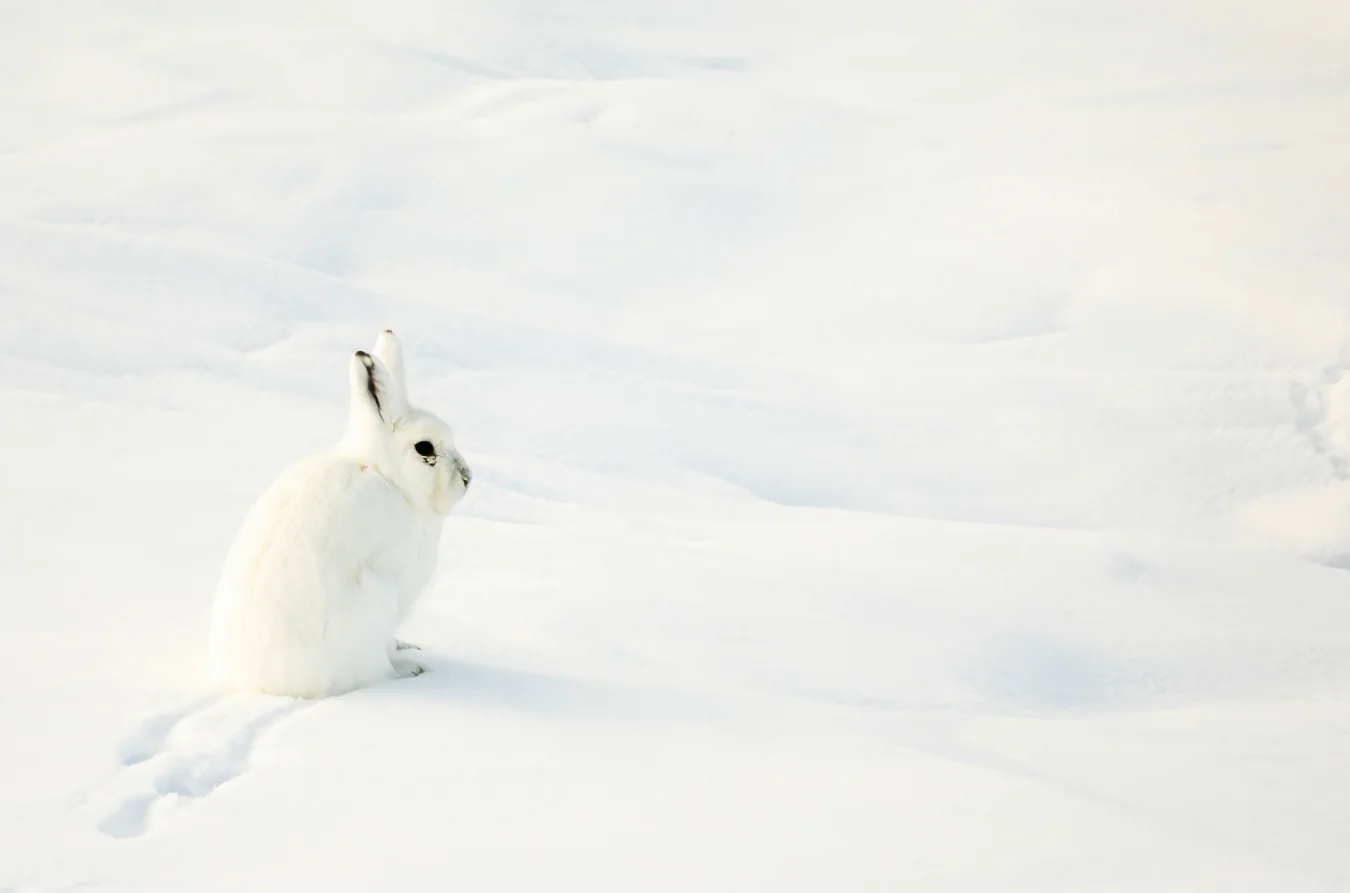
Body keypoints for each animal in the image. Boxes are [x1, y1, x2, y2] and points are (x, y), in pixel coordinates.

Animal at [210, 329, 471, 698]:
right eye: (425, 448)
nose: (467, 478)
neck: (383, 473)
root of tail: (264, 686)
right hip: (376, 600)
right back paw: (407, 671)